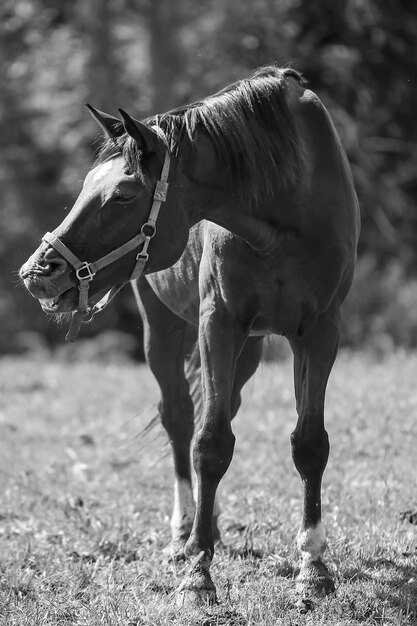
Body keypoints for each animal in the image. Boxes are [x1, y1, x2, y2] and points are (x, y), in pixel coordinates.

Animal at [18, 66, 358, 608]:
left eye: (123, 195)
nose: (37, 273)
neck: (288, 205)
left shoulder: (321, 331)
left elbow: (309, 443)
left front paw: (314, 566)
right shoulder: (218, 323)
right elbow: (210, 443)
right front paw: (199, 573)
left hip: (251, 348)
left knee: (215, 409)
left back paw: (209, 524)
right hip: (163, 328)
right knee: (180, 417)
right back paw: (184, 534)